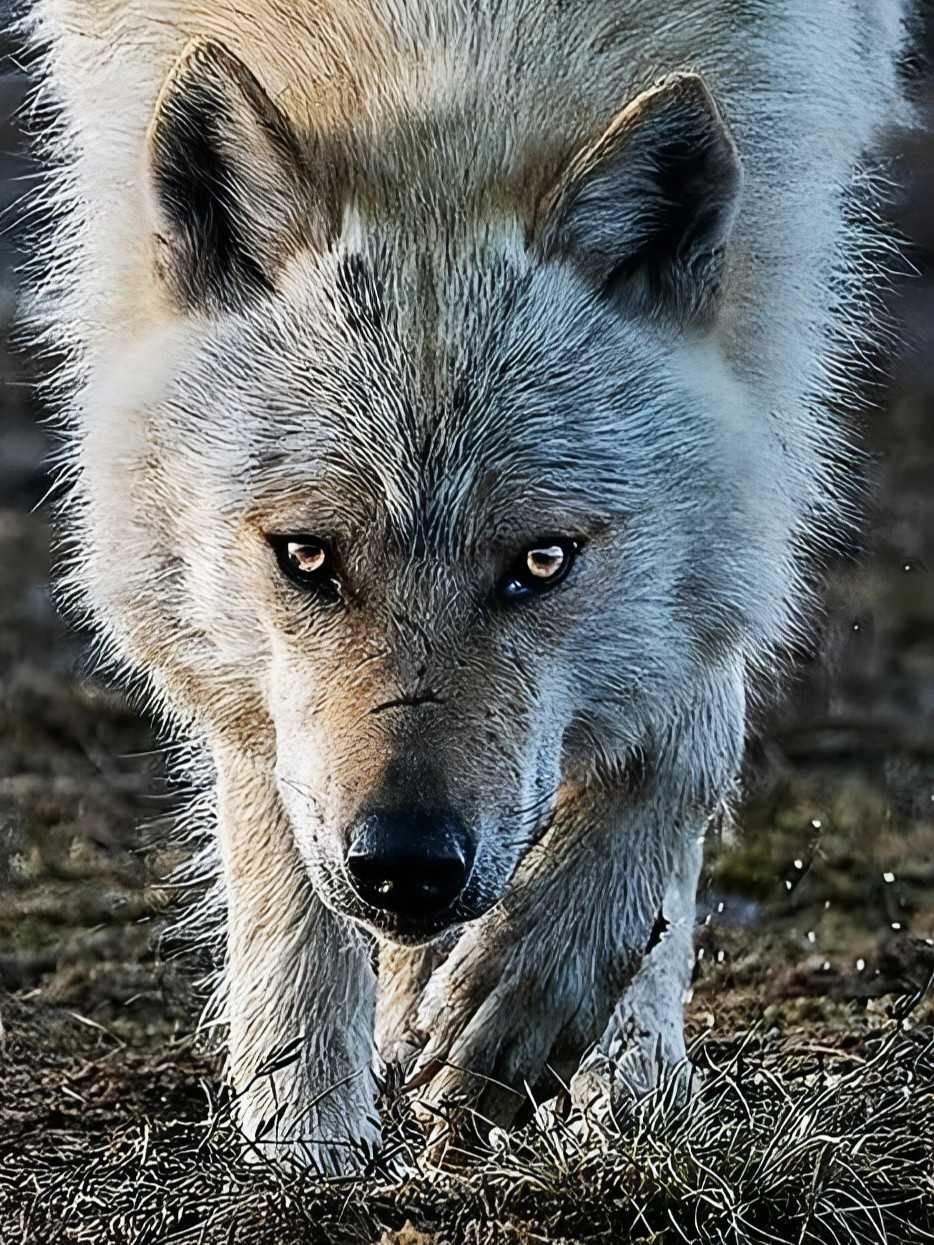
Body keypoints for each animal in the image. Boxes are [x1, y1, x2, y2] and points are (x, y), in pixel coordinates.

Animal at [27, 0, 916, 1165]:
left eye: (540, 563)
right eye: (305, 556)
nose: (405, 865)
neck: (447, 42)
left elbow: (683, 731)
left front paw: (536, 1003)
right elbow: (271, 800)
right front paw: (305, 1129)